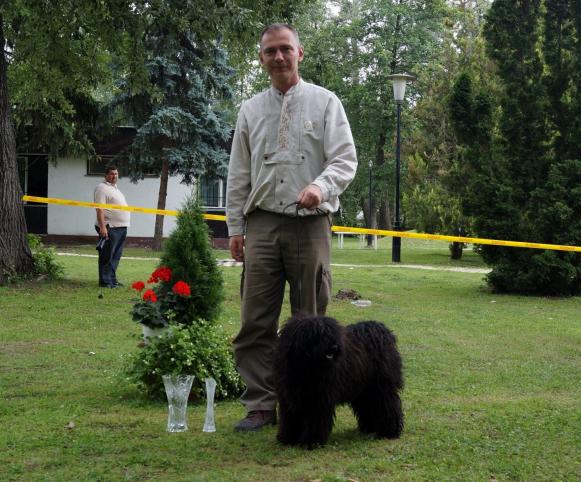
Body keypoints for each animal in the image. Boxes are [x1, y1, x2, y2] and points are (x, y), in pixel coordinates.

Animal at [274, 316, 404, 448]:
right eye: (318, 334)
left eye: (331, 333)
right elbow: (290, 419)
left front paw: (311, 442)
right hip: (363, 388)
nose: (334, 347)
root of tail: (380, 329)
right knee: (368, 405)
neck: (305, 368)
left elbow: (314, 420)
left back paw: (390, 432)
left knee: (388, 405)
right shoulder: (289, 397)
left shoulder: (318, 399)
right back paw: (369, 428)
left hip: (381, 386)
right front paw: (288, 439)